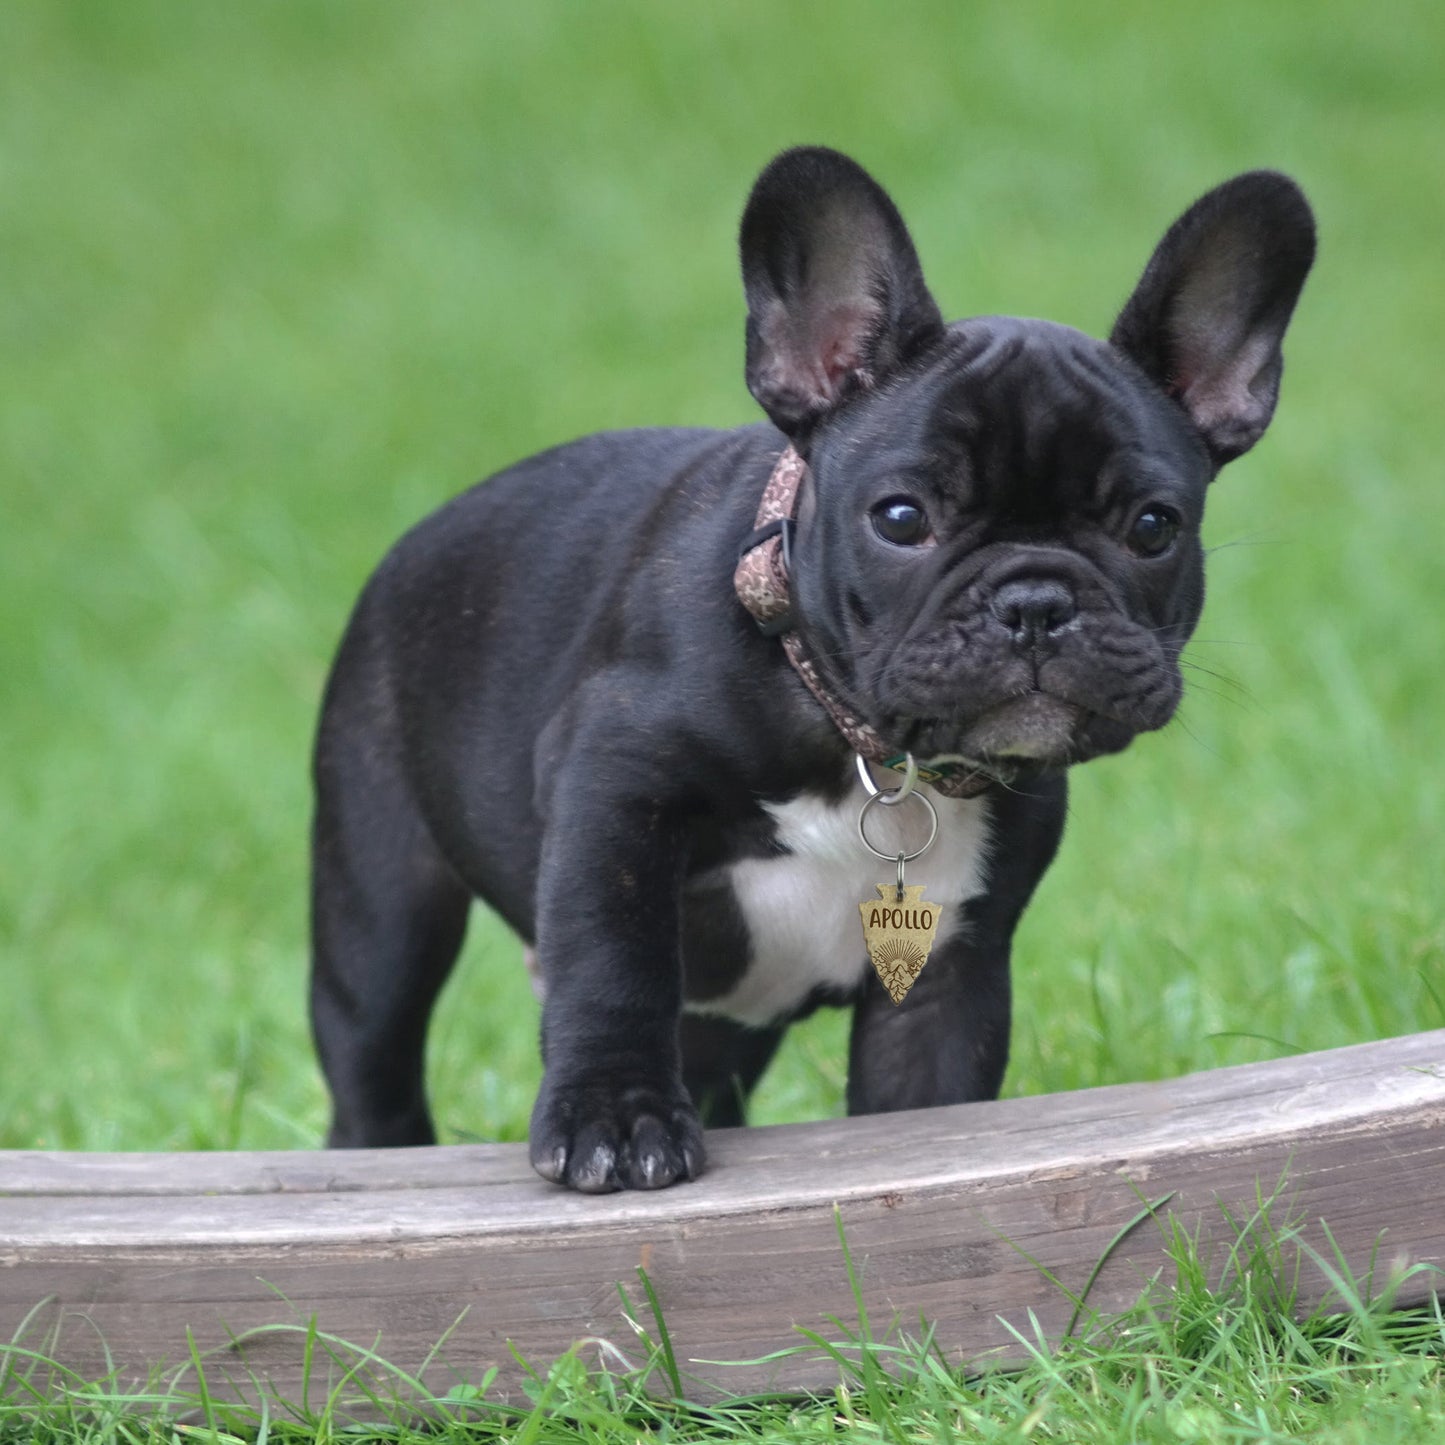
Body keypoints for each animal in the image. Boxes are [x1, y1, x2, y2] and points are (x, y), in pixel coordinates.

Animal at [310, 146, 1317, 1190]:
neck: (861, 740)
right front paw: (614, 1116)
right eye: (901, 518)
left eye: (1153, 527)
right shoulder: (611, 786)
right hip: (380, 897)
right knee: (374, 1049)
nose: (1034, 602)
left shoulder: (950, 970)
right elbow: (612, 959)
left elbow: (928, 1098)